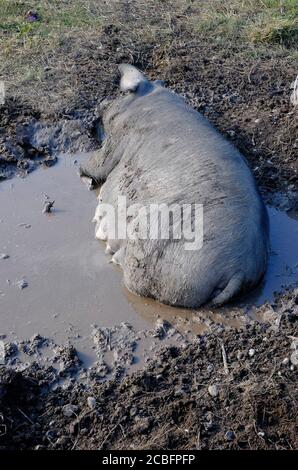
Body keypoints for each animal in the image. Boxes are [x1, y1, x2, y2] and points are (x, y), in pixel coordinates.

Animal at [79, 66, 270, 308]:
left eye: (121, 93)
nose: (100, 103)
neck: (147, 102)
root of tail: (240, 270)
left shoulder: (119, 139)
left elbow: (97, 164)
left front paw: (84, 175)